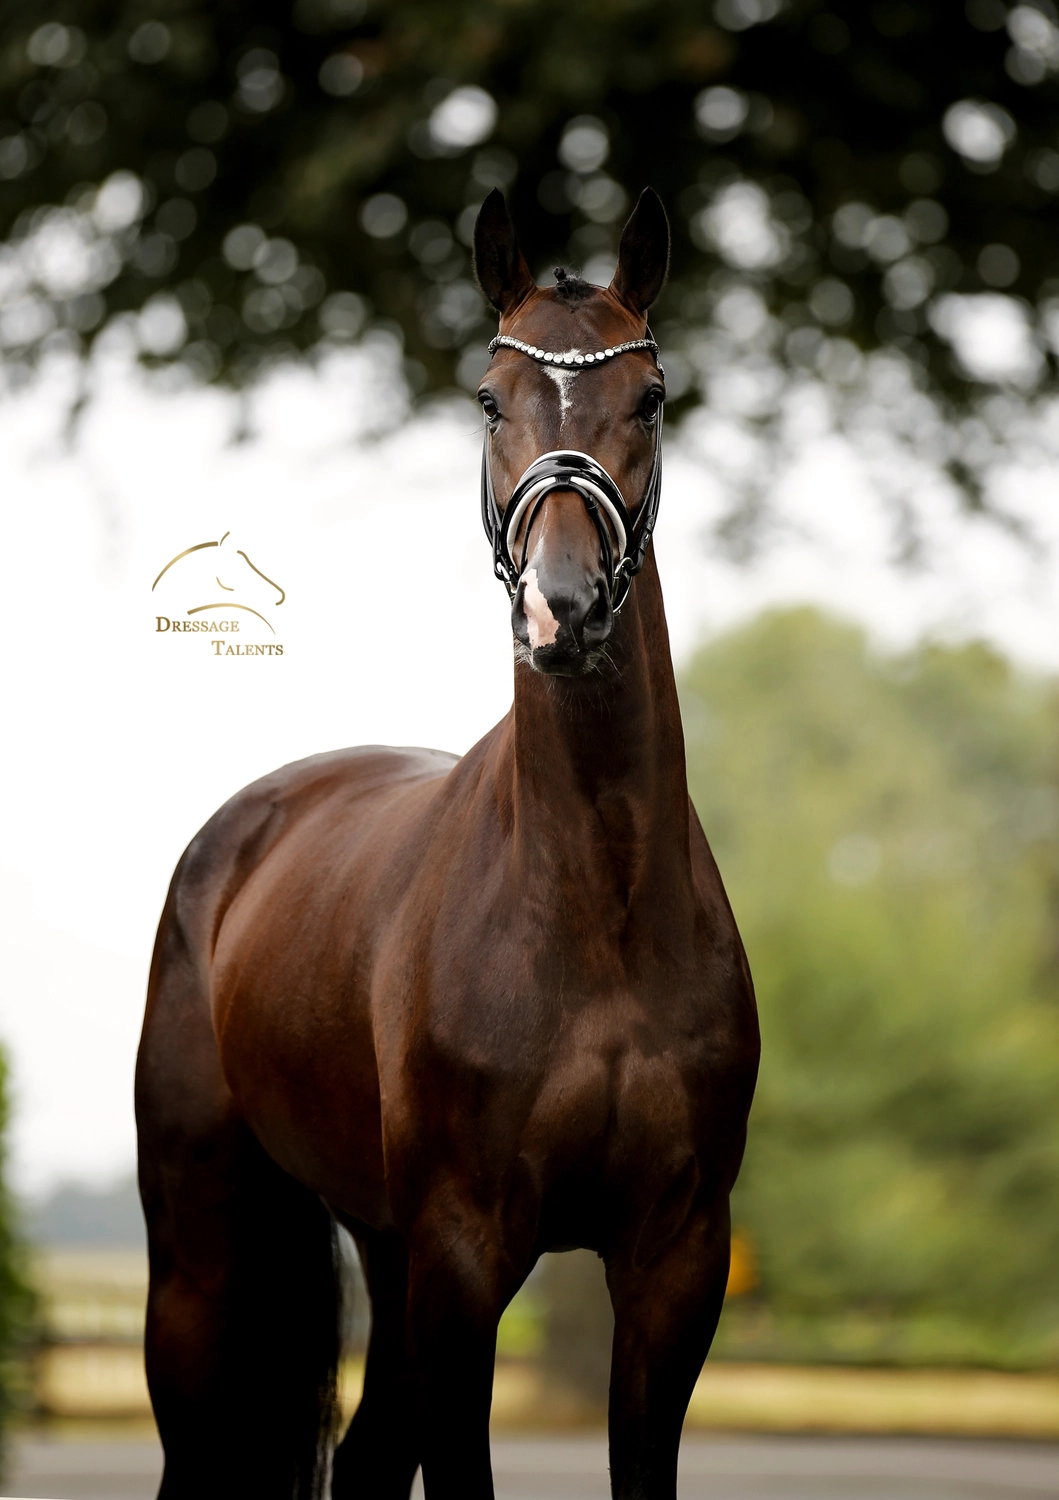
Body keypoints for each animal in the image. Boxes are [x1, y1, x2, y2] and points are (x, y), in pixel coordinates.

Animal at [135, 186, 759, 1500]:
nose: (562, 610)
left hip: (379, 1240)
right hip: (203, 1246)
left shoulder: (676, 1261)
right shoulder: (465, 1257)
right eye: (488, 397)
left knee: (370, 1457)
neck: (593, 910)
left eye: (652, 397)